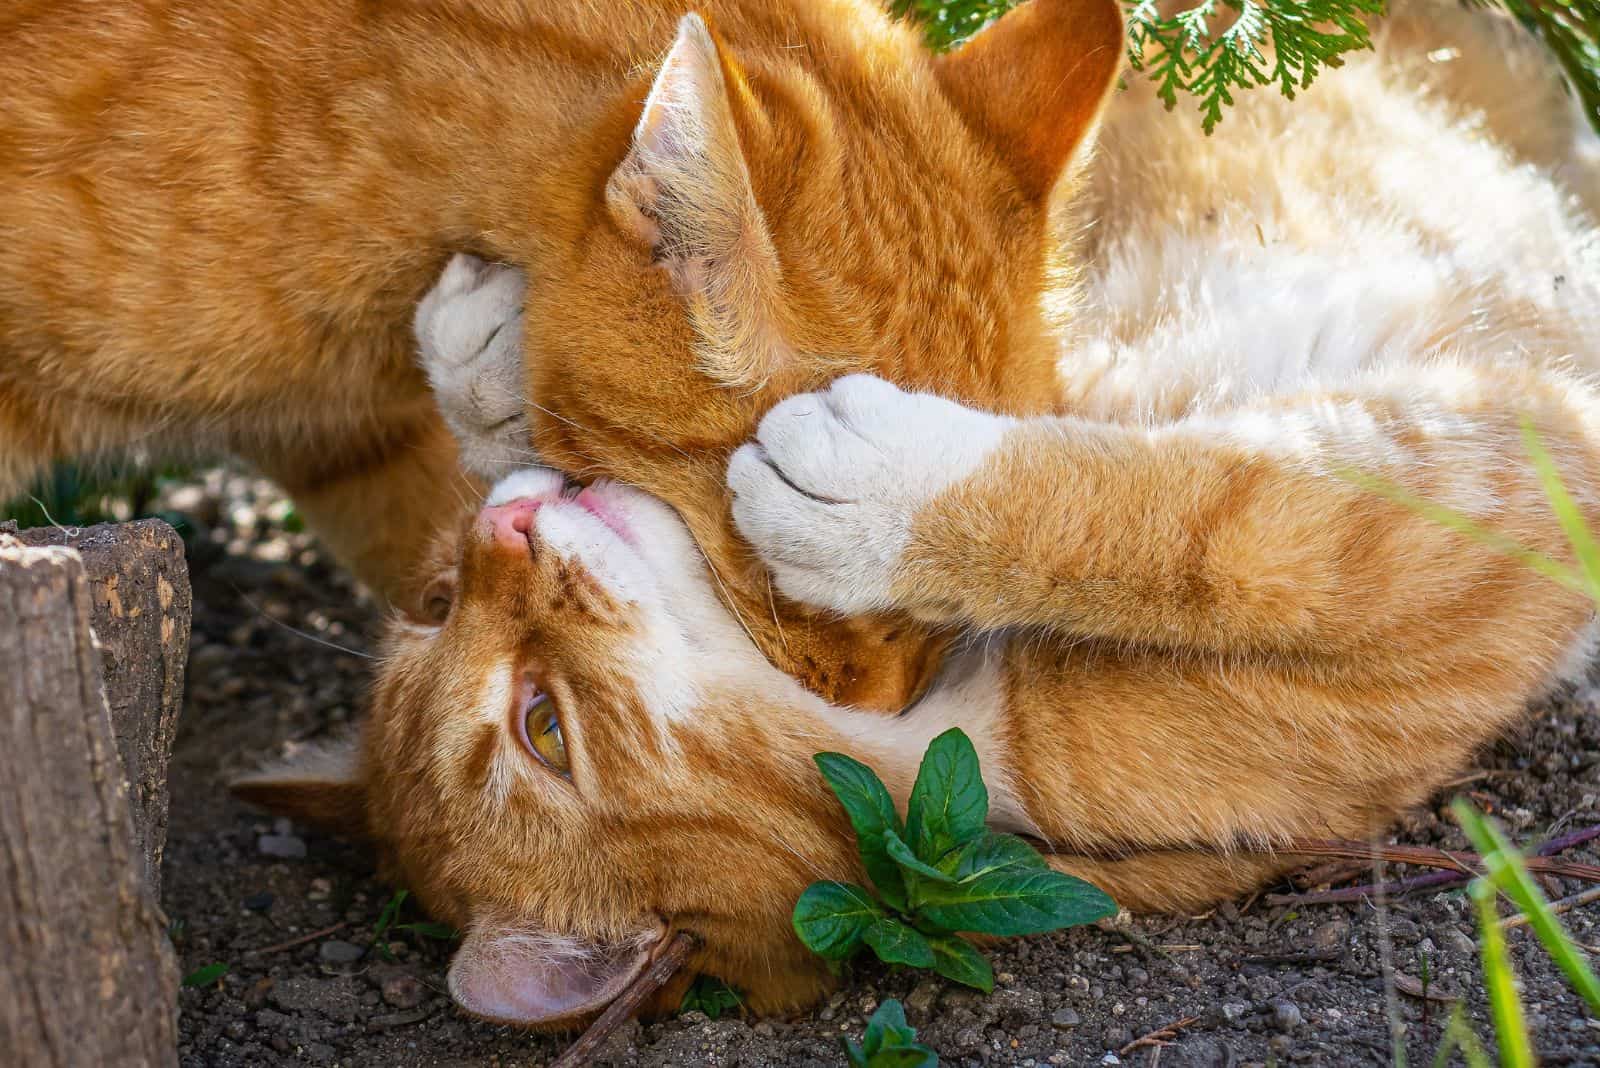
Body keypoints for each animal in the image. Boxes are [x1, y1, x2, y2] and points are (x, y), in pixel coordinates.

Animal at [240, 0, 1600, 1029]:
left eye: (538, 723)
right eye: (440, 606)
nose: (499, 542)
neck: (926, 731)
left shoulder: (1484, 486)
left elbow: (1203, 509)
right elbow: (1213, 510)